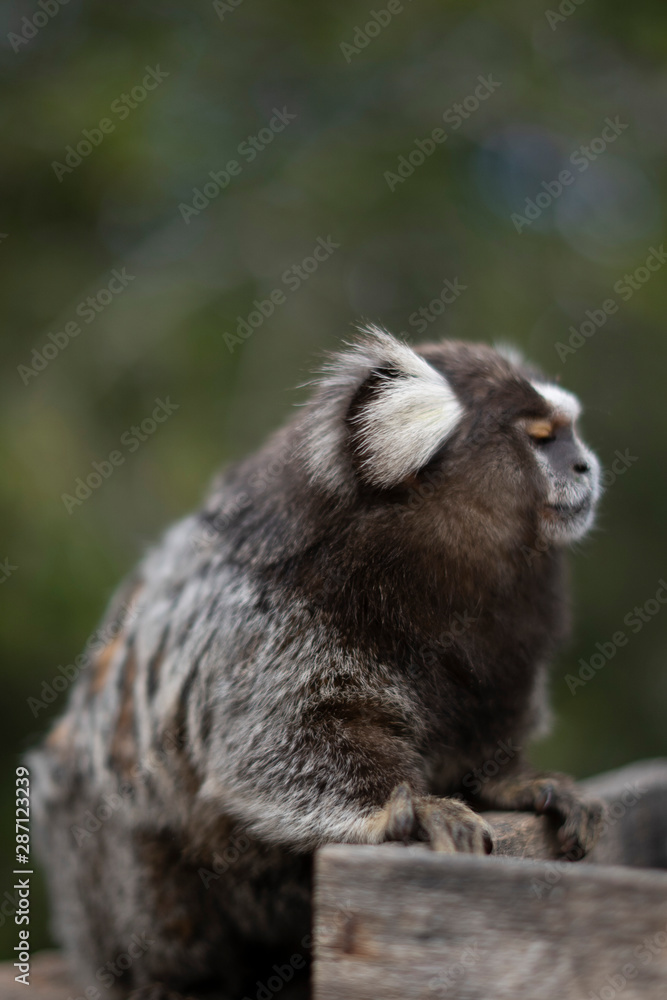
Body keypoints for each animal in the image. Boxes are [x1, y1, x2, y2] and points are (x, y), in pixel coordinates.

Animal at [29, 327, 606, 999]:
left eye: (569, 432)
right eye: (540, 438)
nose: (584, 465)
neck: (429, 568)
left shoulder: (506, 648)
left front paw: (514, 783)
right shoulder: (267, 621)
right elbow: (278, 746)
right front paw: (402, 809)